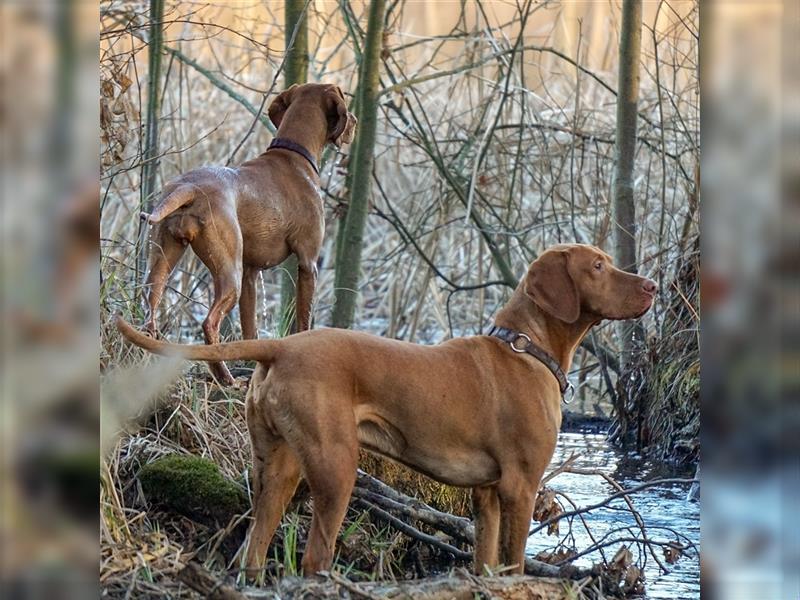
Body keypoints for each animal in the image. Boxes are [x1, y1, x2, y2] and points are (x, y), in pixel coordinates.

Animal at [117, 246, 656, 580]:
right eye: (598, 266)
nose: (652, 285)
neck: (526, 347)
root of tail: (281, 347)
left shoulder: (486, 495)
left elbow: (485, 564)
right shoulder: (520, 487)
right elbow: (516, 563)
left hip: (275, 467)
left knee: (253, 547)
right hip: (336, 468)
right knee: (315, 556)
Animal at [140, 82, 356, 384]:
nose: (356, 122)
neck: (293, 155)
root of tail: (189, 188)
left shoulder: (252, 273)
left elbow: (250, 328)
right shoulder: (308, 264)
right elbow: (304, 319)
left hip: (164, 258)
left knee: (151, 302)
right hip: (230, 273)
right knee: (209, 323)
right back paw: (225, 379)